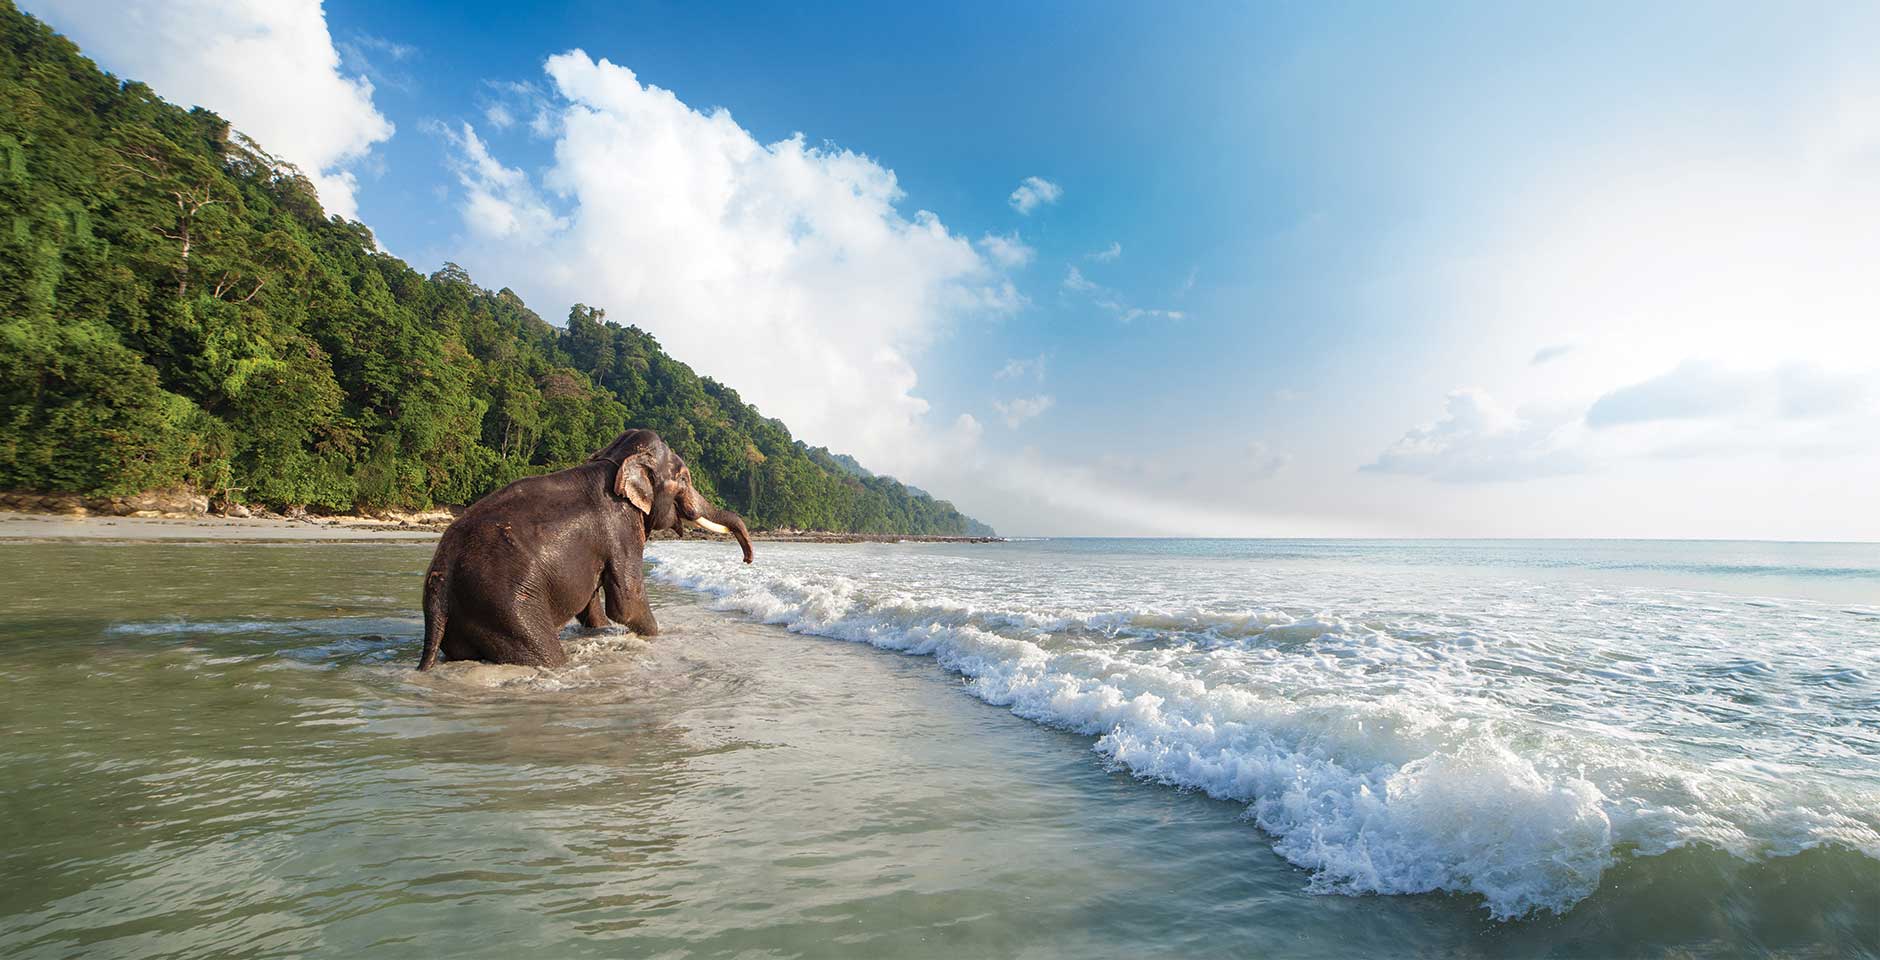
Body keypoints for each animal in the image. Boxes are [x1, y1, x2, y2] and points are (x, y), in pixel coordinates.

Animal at [419, 428, 755, 668]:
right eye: (684, 478)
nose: (748, 560)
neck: (614, 461)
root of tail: (440, 581)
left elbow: (592, 602)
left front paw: (602, 631)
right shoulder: (621, 528)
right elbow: (627, 604)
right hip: (507, 608)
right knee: (545, 654)